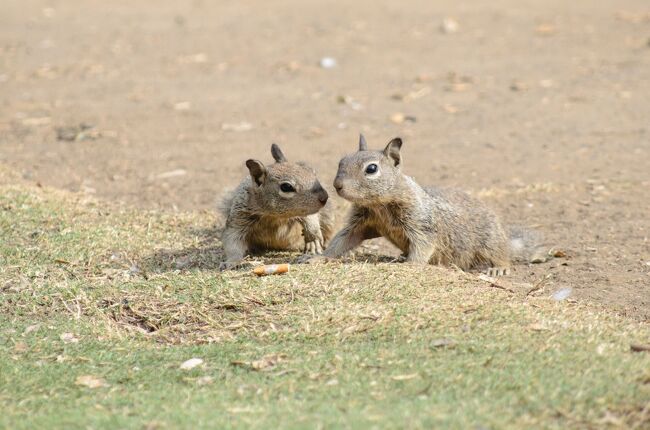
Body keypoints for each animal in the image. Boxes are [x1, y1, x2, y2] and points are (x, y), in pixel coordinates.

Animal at [308, 134, 540, 276]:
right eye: (342, 161)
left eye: (371, 169)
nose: (337, 185)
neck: (379, 204)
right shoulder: (360, 224)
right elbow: (341, 241)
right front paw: (318, 258)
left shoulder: (421, 225)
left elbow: (423, 245)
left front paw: (409, 265)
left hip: (489, 241)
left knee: (501, 254)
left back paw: (498, 268)